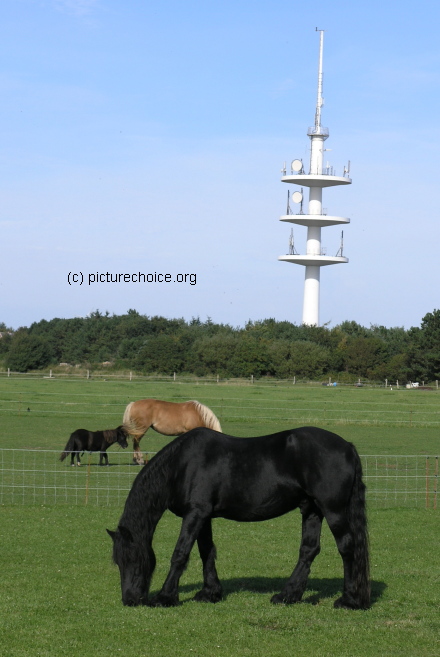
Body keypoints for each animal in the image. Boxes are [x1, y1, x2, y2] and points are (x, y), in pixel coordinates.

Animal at [108, 426, 370, 608]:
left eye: (133, 557)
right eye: (118, 561)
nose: (130, 599)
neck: (182, 465)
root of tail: (347, 446)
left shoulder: (195, 513)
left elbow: (180, 553)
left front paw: (165, 597)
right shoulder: (203, 516)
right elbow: (206, 552)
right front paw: (210, 593)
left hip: (333, 510)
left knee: (347, 547)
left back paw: (349, 600)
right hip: (312, 510)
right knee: (308, 550)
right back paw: (288, 595)